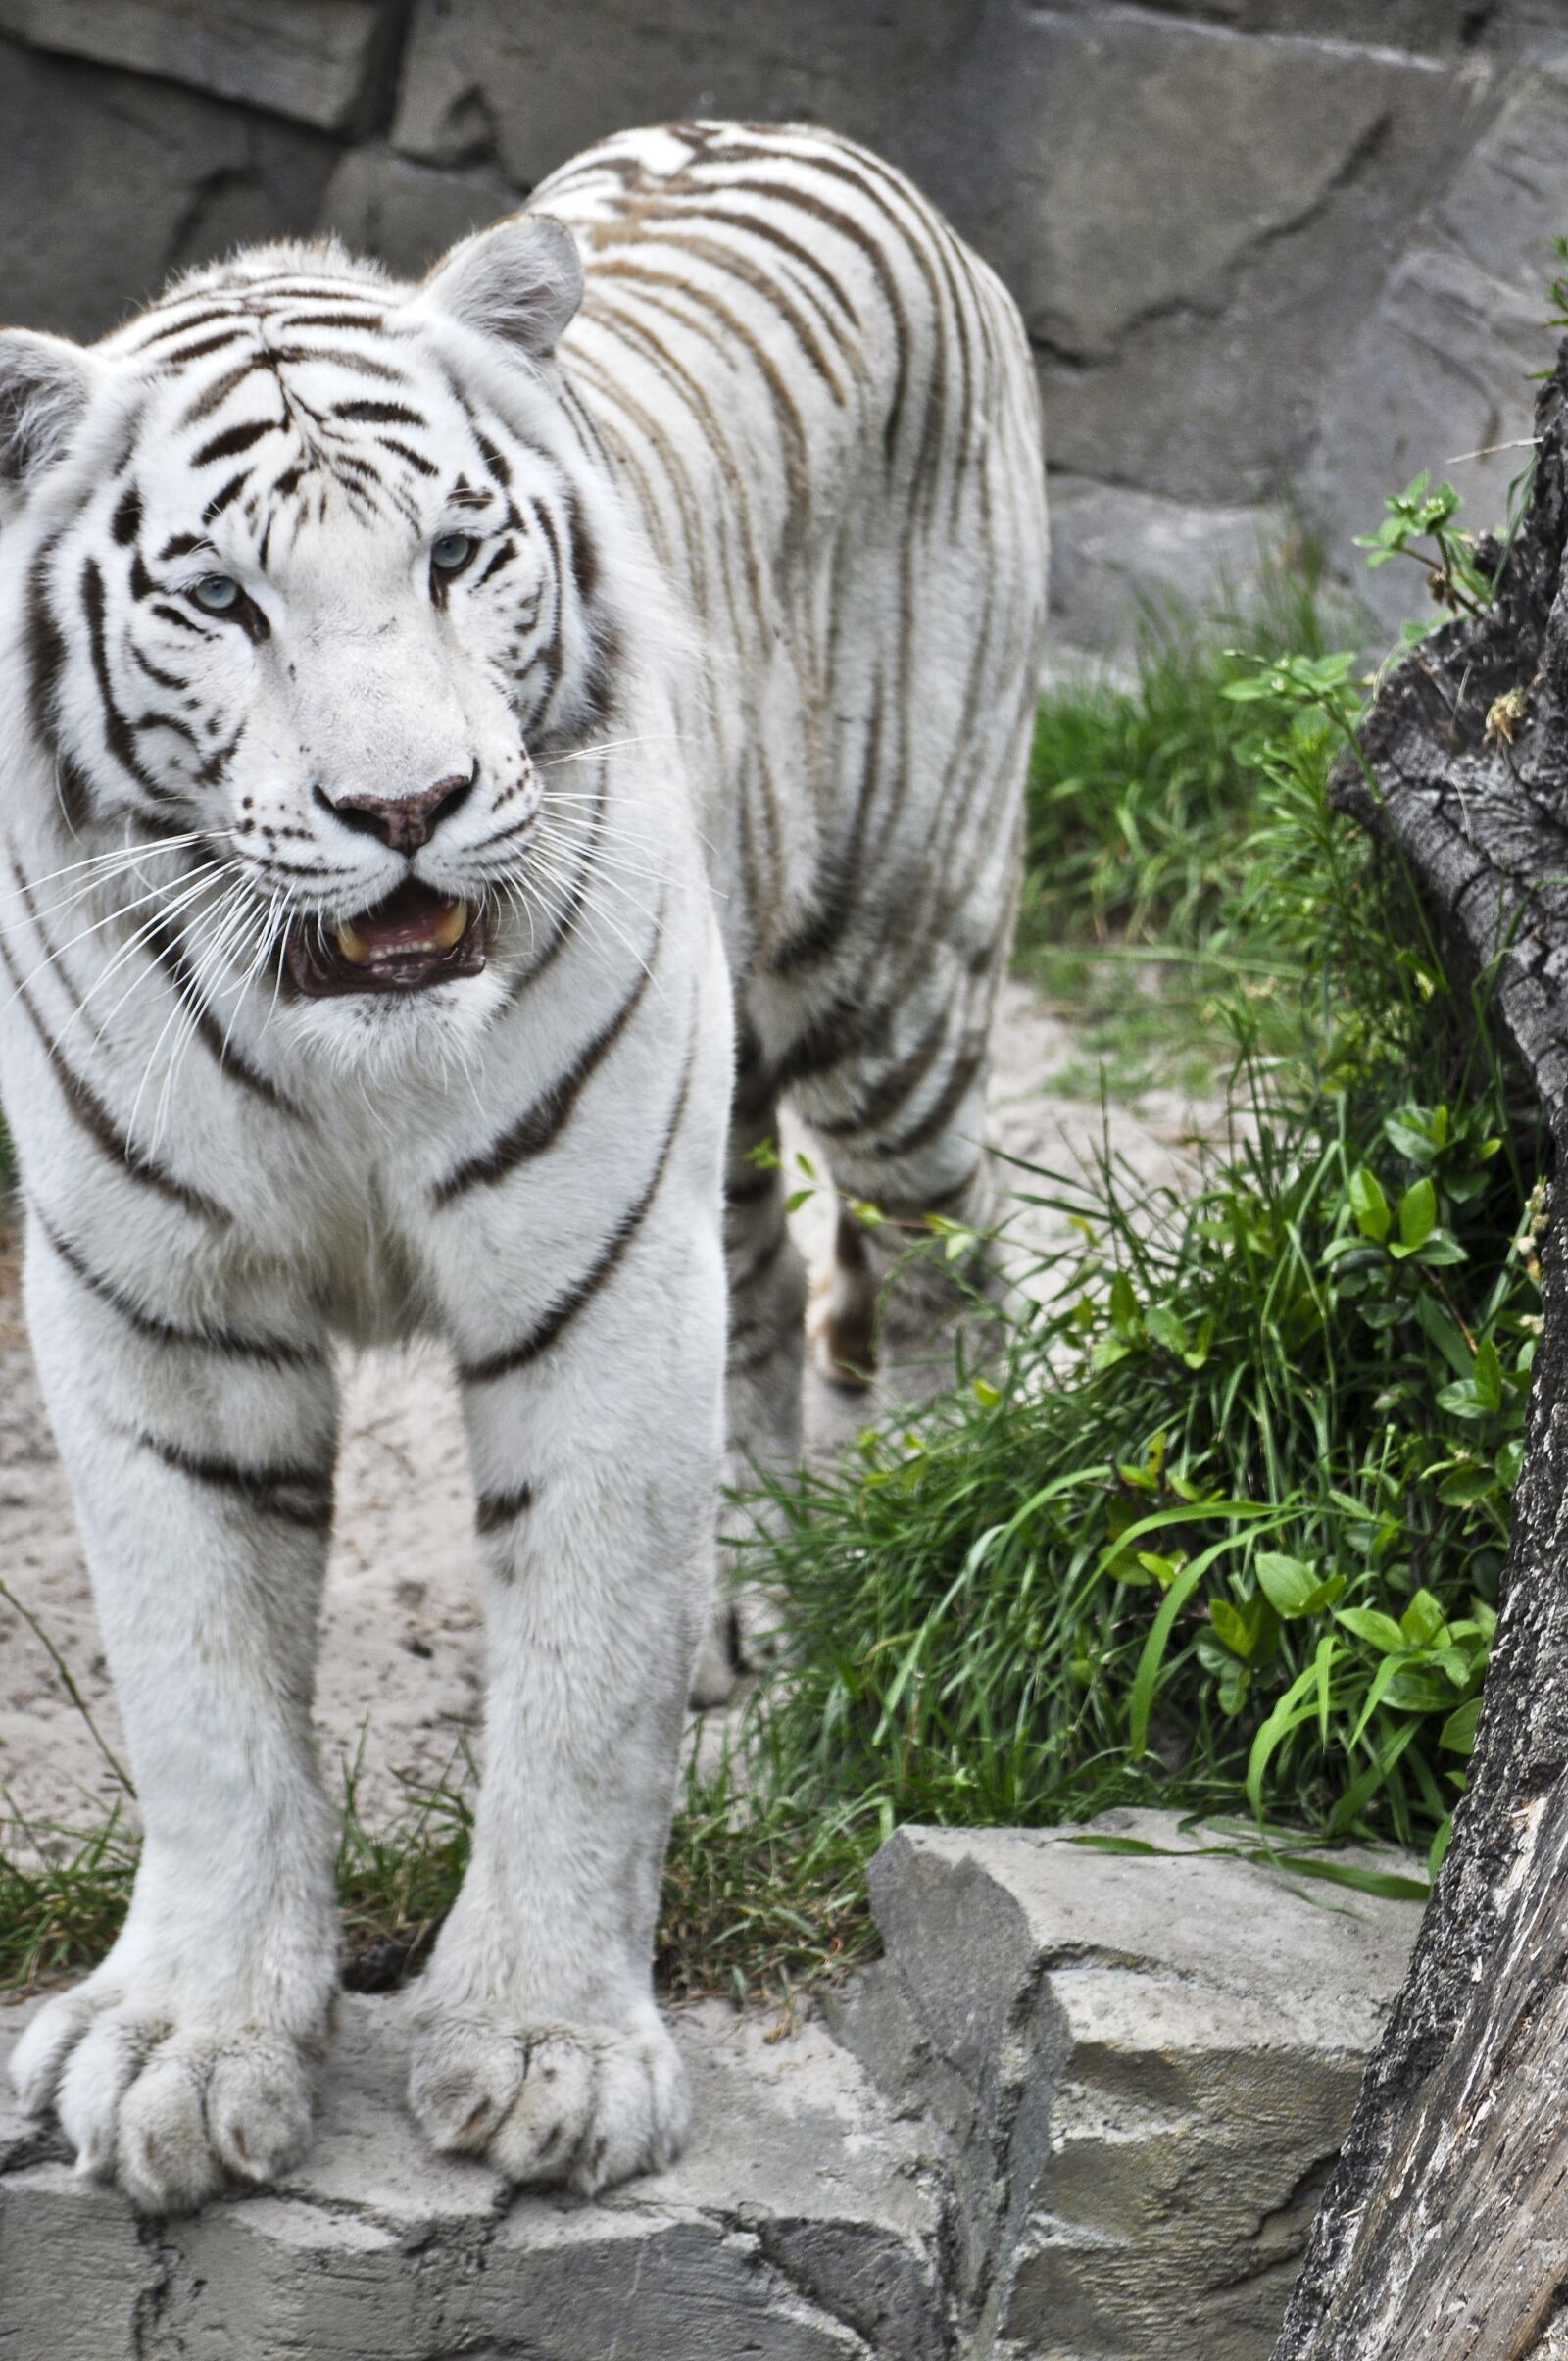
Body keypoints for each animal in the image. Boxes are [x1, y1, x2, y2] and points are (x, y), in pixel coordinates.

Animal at [0, 119, 1046, 2209]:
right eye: (221, 600)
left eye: (455, 555)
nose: (404, 805)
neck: (341, 1051)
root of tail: (807, 129)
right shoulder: (157, 1310)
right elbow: (203, 1698)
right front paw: (181, 2046)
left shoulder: (593, 1279)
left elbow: (580, 1682)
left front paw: (550, 2057)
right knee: (767, 1256)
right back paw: (757, 1579)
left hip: (889, 974)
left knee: (939, 1249)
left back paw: (926, 1564)